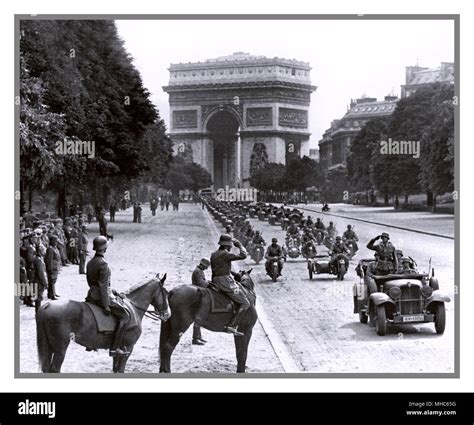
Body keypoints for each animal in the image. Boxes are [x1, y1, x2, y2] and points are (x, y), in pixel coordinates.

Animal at [37, 274, 170, 372]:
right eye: (165, 292)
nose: (168, 314)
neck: (133, 307)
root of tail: (47, 305)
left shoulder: (118, 351)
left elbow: (115, 370)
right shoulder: (128, 348)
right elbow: (120, 370)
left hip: (50, 346)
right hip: (60, 348)